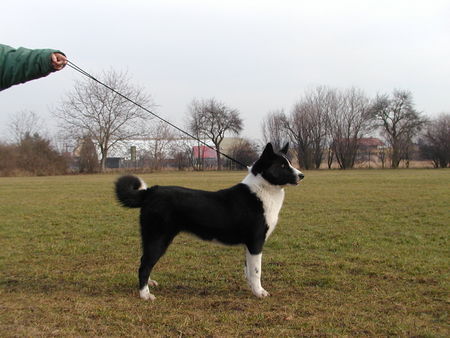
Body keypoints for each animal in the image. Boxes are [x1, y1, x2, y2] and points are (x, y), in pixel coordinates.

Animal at [116, 141, 304, 300]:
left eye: (290, 163)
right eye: (282, 165)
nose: (302, 175)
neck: (262, 189)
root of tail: (150, 192)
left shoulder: (249, 245)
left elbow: (248, 270)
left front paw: (252, 288)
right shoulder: (256, 242)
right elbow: (256, 271)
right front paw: (259, 292)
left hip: (152, 239)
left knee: (145, 261)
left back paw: (150, 284)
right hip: (158, 238)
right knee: (144, 265)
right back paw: (145, 295)